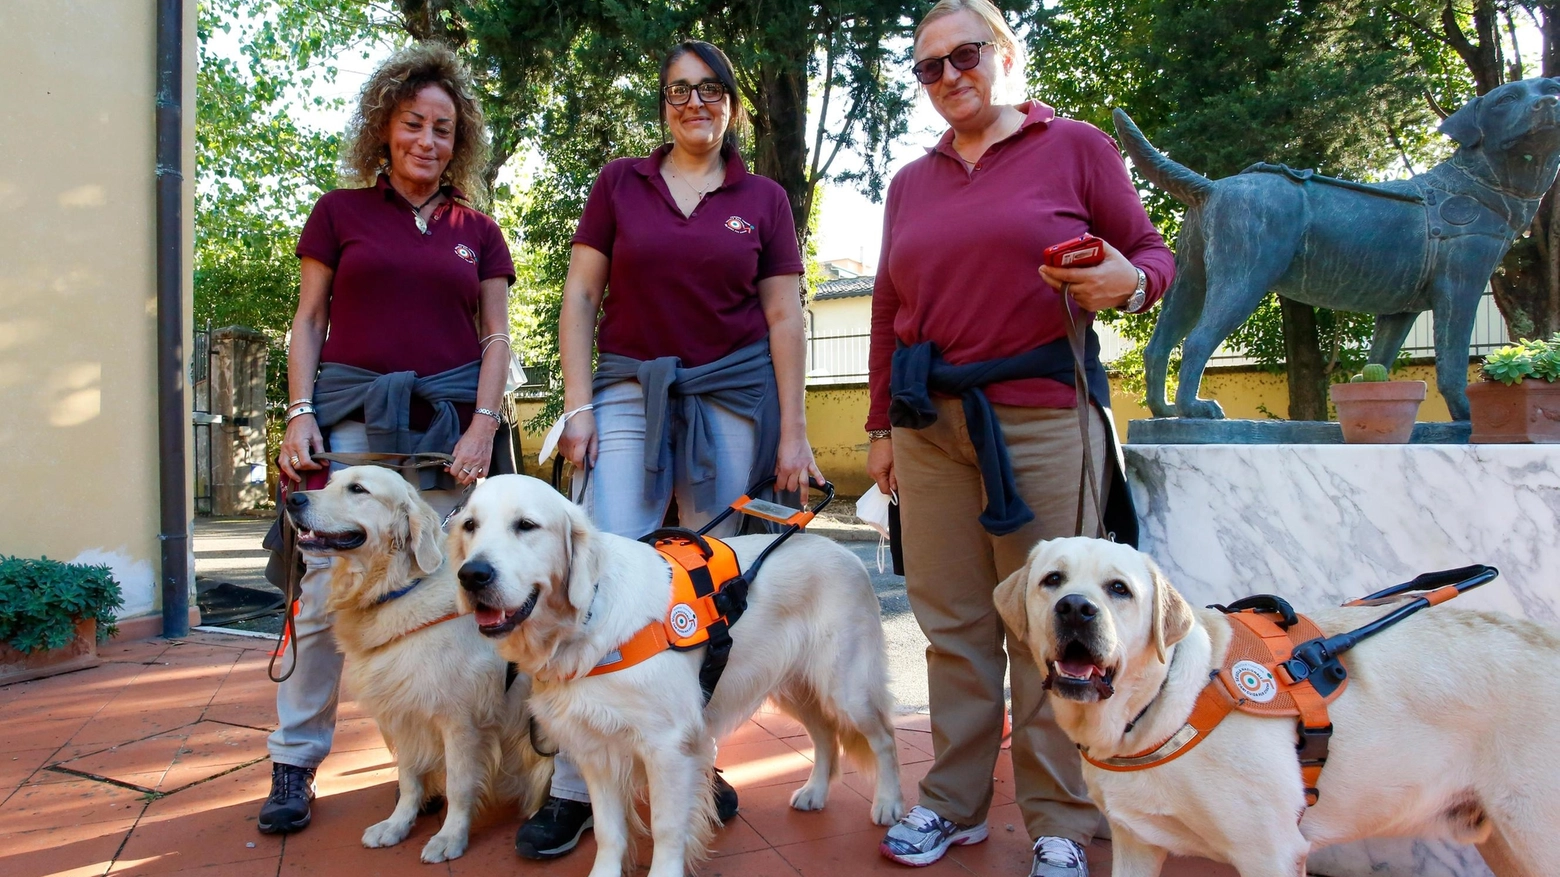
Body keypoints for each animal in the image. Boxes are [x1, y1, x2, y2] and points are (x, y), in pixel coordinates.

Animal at [283, 465, 552, 861]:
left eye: (358, 489)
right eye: (329, 483)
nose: (292, 498)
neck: (397, 588)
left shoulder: (461, 721)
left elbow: (459, 784)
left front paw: (450, 837)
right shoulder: (402, 714)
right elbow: (408, 779)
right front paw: (397, 824)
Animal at [446, 474, 904, 873]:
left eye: (526, 525)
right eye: (469, 525)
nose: (472, 575)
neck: (588, 619)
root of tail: (844, 552)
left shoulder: (667, 747)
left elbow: (667, 828)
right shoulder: (595, 748)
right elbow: (609, 832)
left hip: (846, 686)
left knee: (883, 738)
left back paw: (889, 804)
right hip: (794, 687)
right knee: (826, 736)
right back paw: (815, 792)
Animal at [998, 533, 1560, 873]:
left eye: (1119, 589)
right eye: (1052, 580)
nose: (1075, 608)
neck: (1154, 711)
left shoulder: (1270, 852)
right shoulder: (1136, 842)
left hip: (1536, 836)